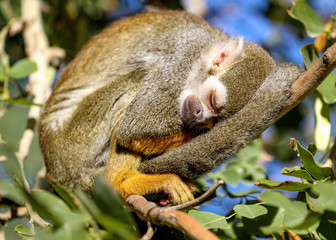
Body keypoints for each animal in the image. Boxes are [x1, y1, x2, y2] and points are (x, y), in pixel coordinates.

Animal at [38, 10, 302, 203]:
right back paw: (122, 182)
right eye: (211, 100)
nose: (201, 118)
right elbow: (134, 129)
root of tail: (57, 175)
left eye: (217, 119)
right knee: (135, 84)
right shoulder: (181, 59)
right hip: (76, 142)